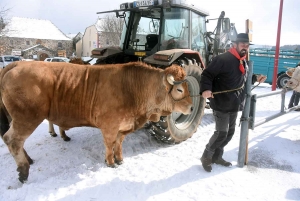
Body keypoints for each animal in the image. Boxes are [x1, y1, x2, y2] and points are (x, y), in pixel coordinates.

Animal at [0, 60, 192, 183]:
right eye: (180, 90)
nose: (191, 107)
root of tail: (18, 63)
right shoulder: (109, 125)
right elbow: (109, 144)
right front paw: (110, 162)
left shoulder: (124, 126)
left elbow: (119, 143)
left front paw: (120, 159)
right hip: (26, 118)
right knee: (12, 140)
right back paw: (23, 171)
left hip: (15, 118)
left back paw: (29, 160)